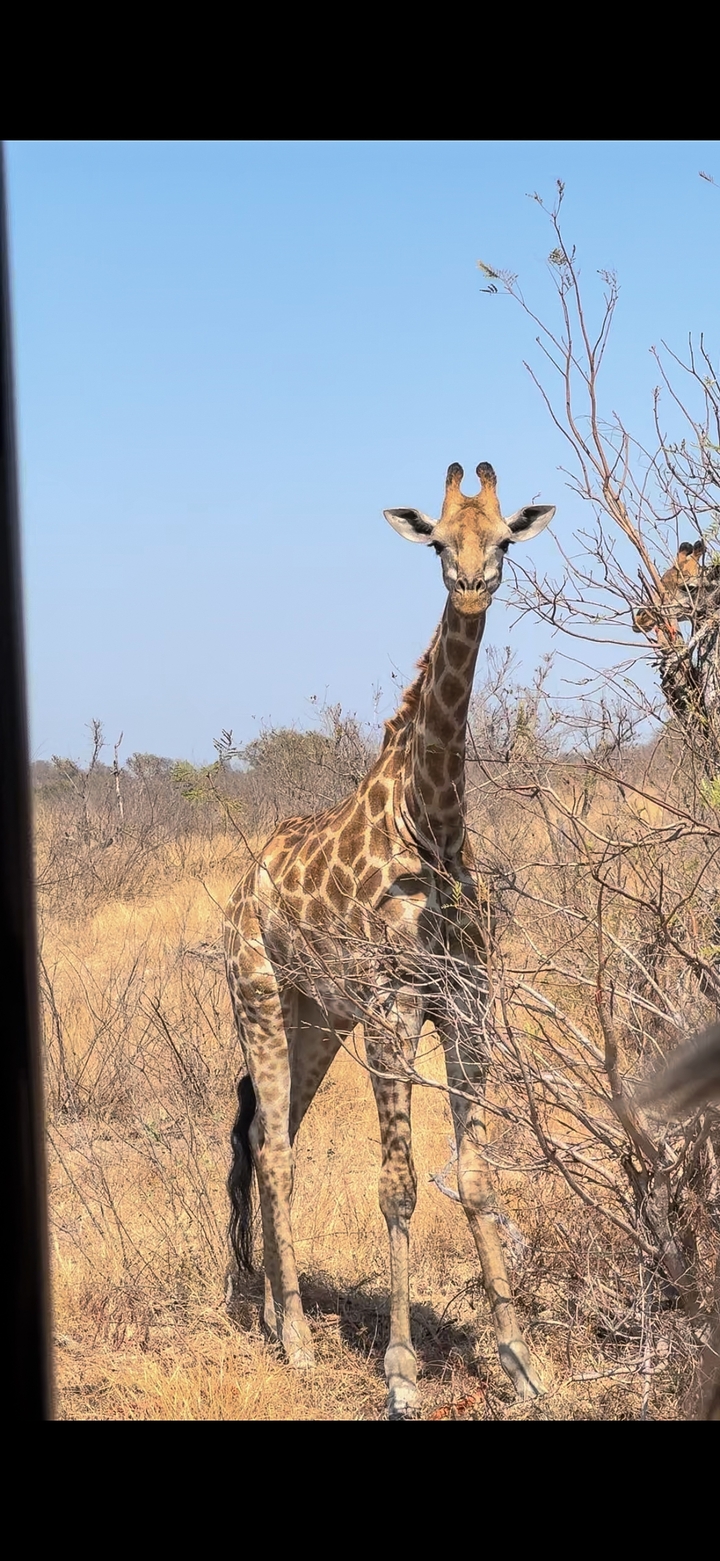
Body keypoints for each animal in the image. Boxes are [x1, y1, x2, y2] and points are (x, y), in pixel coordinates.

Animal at [224, 459, 555, 1418]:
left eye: (505, 538)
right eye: (439, 542)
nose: (472, 584)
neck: (434, 823)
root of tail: (241, 885)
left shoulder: (467, 1005)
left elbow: (476, 1177)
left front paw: (519, 1359)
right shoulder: (392, 1007)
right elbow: (400, 1187)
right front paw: (402, 1369)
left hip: (315, 1018)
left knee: (274, 1138)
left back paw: (274, 1315)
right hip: (258, 995)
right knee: (272, 1146)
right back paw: (297, 1338)